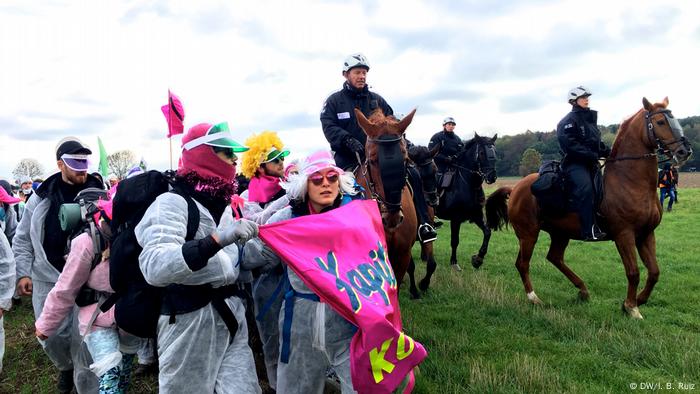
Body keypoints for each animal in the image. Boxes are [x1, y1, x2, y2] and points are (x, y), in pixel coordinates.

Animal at [486, 97, 696, 318]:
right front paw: (631, 306)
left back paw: (583, 290)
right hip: (528, 235)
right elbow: (633, 272)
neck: (629, 181)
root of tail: (515, 188)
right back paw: (534, 298)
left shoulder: (646, 234)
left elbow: (654, 272)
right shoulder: (624, 235)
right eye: (660, 122)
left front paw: (637, 300)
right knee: (523, 264)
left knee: (555, 258)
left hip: (560, 234)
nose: (685, 151)